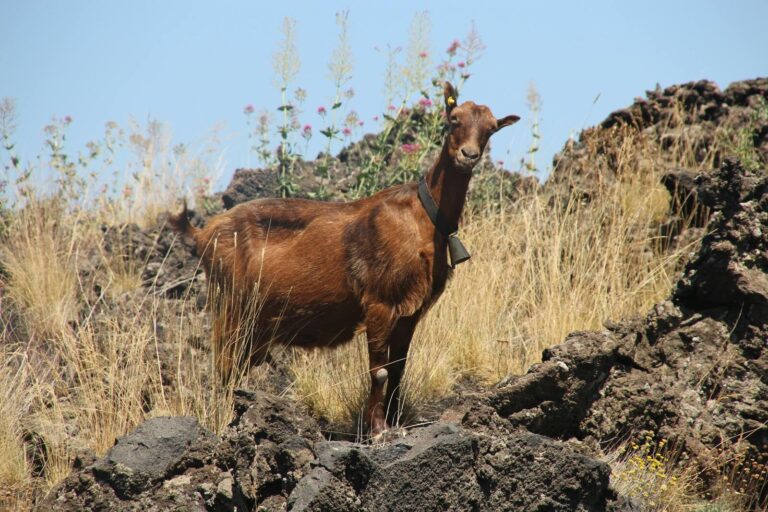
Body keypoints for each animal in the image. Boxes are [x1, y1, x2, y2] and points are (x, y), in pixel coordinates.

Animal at [169, 82, 519, 436]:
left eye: (491, 128)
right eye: (454, 118)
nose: (468, 156)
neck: (424, 217)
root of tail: (203, 233)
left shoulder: (410, 311)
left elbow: (398, 369)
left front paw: (394, 423)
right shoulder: (379, 302)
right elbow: (379, 371)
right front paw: (377, 430)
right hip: (232, 304)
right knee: (224, 365)